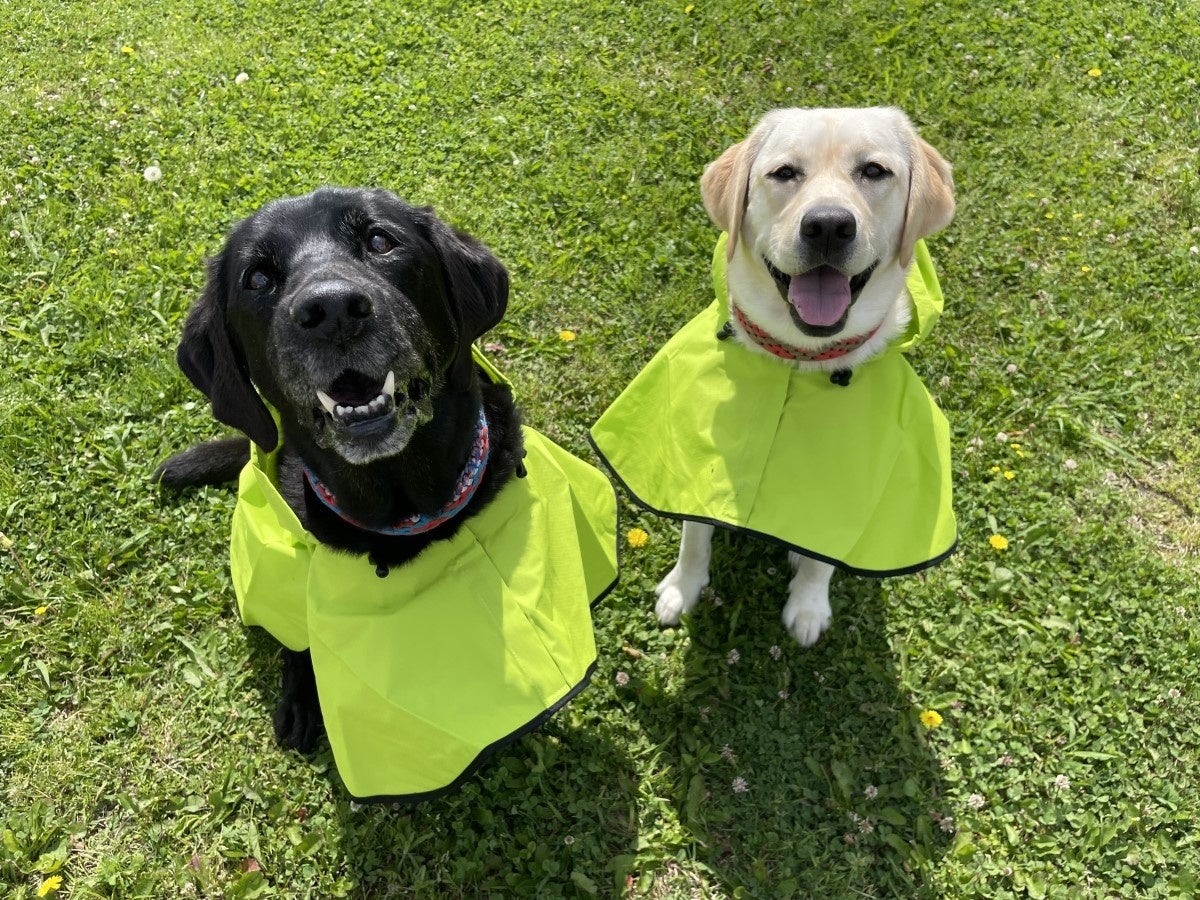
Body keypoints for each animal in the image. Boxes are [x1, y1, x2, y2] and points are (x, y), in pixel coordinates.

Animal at [157, 188, 523, 753]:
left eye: (380, 240)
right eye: (257, 278)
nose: (331, 310)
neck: (401, 509)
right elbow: (299, 642)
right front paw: (301, 698)